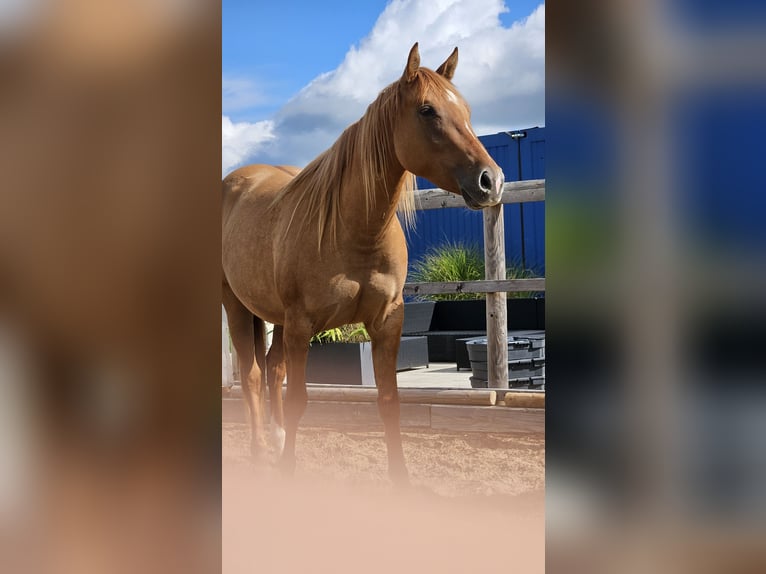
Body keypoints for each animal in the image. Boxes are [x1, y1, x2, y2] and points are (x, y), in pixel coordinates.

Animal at [222, 46, 504, 486]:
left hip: (277, 320)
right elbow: (299, 399)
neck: (353, 230)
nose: (491, 180)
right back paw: (260, 451)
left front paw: (400, 481)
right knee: (252, 377)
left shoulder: (386, 322)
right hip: (236, 305)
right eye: (427, 110)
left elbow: (389, 401)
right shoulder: (302, 326)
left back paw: (277, 439)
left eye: (468, 110)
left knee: (272, 370)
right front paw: (288, 472)